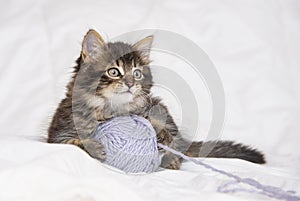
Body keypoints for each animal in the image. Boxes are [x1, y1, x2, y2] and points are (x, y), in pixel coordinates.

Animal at [48, 29, 266, 169]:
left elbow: (159, 128)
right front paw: (93, 146)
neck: (111, 110)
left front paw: (158, 133)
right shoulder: (58, 135)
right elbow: (75, 142)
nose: (130, 83)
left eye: (136, 73)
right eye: (113, 72)